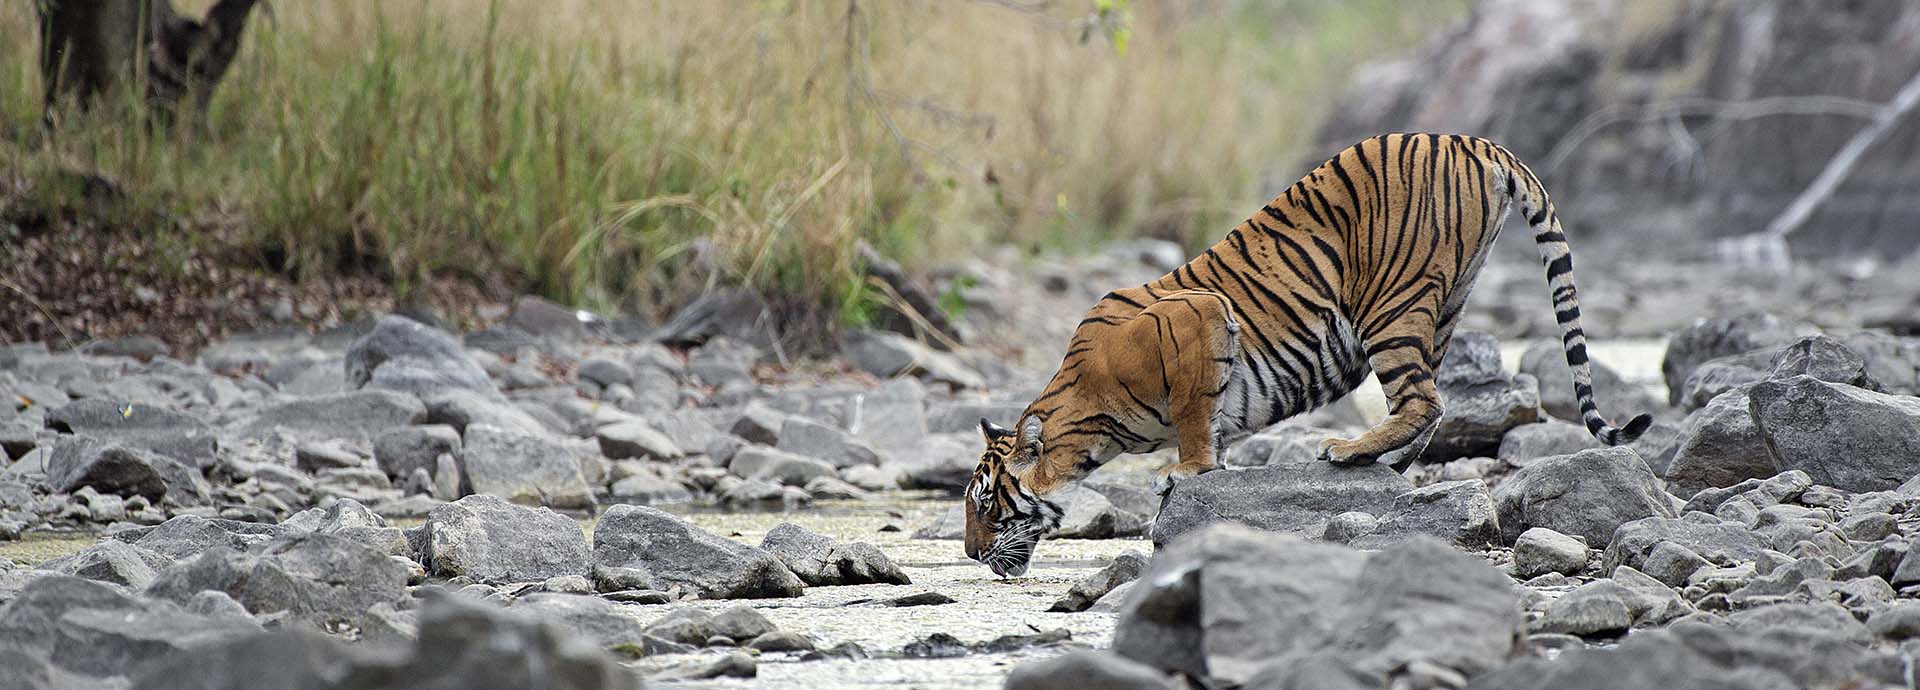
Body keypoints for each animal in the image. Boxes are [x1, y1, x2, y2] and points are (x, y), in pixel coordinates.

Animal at [963, 133, 1653, 577]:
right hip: (1446, 301)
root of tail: (1475, 143)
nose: (970, 552)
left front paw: (1185, 473)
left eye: (986, 503)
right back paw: (1387, 465)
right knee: (1431, 400)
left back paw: (1348, 451)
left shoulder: (1201, 316)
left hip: (1390, 301)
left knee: (1424, 398)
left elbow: (1193, 417)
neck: (1093, 423)